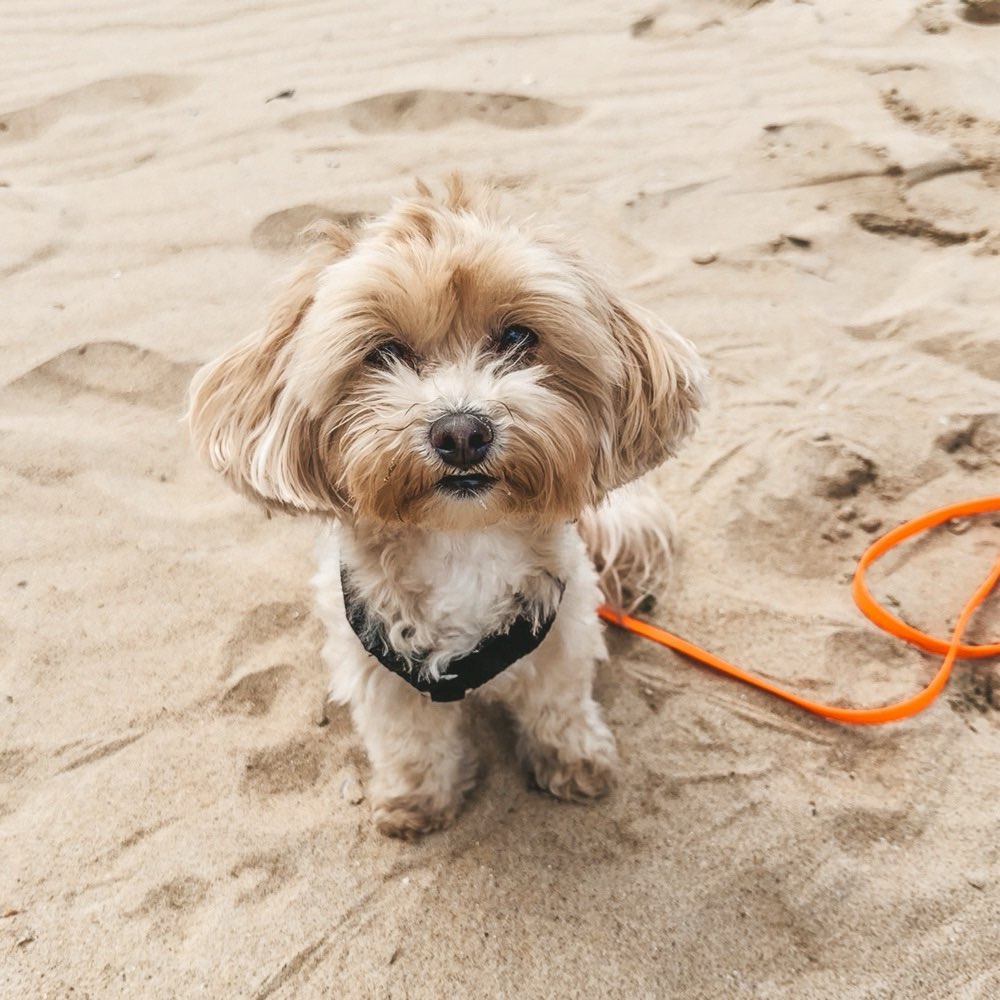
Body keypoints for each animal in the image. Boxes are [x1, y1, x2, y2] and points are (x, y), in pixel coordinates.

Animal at [186, 180, 704, 836]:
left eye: (517, 337)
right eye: (384, 352)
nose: (461, 433)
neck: (463, 542)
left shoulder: (564, 635)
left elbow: (557, 706)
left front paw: (574, 761)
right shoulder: (379, 674)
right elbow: (410, 741)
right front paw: (418, 800)